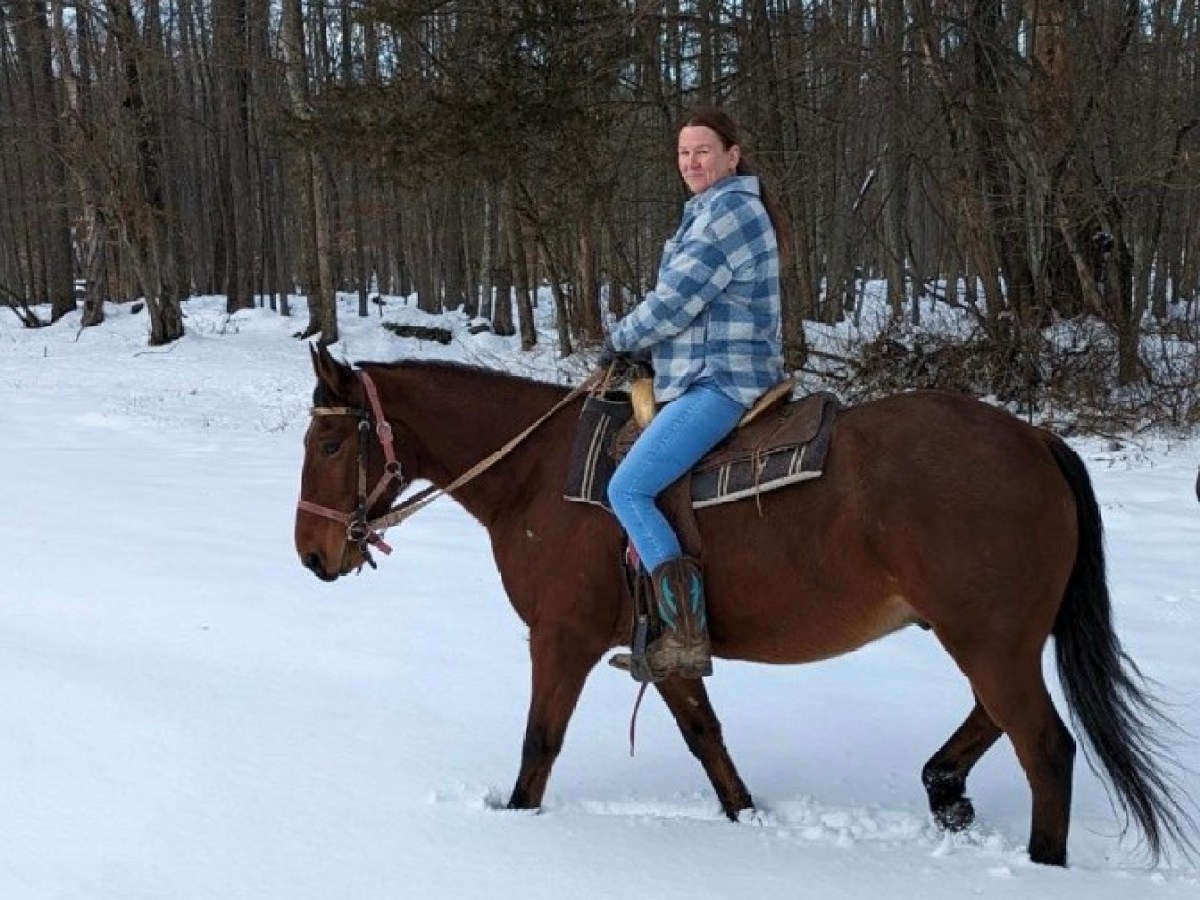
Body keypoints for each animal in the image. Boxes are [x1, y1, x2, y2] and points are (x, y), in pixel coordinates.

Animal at [293, 343, 1194, 867]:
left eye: (330, 441)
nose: (312, 555)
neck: (540, 476)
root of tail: (1032, 439)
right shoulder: (660, 646)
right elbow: (707, 739)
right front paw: (744, 818)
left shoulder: (562, 637)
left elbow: (538, 749)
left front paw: (516, 824)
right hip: (987, 635)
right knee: (997, 721)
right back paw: (944, 787)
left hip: (989, 637)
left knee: (1045, 747)